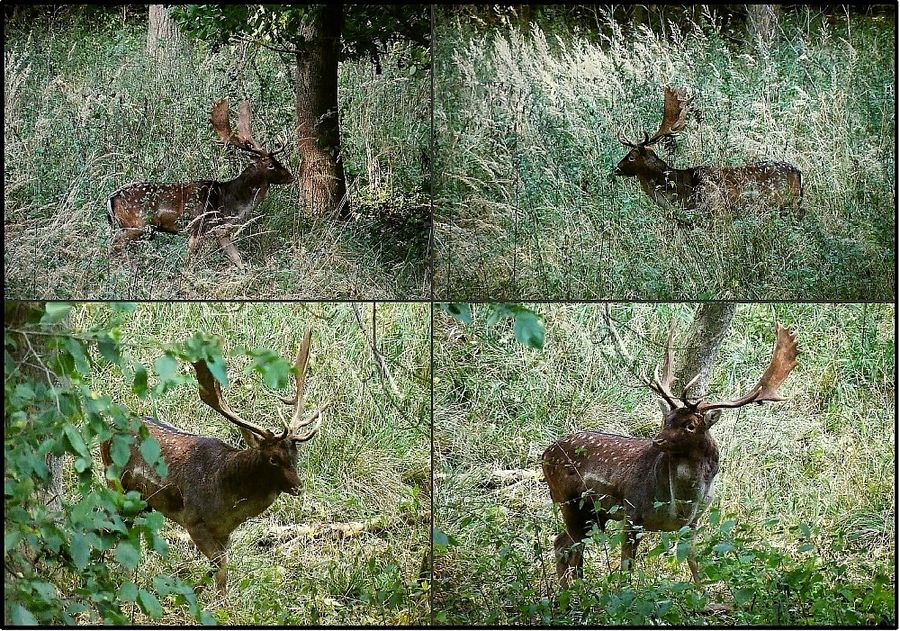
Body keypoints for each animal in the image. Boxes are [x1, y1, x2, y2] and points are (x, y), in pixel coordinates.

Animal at [100, 328, 330, 592]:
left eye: (295, 454)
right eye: (273, 459)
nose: (298, 487)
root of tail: (108, 426)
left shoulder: (225, 532)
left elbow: (220, 570)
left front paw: (198, 591)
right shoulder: (193, 521)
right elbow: (220, 568)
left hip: (141, 501)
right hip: (114, 481)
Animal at [106, 100, 292, 268]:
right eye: (271, 164)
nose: (290, 176)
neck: (229, 202)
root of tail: (111, 198)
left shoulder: (220, 231)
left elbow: (238, 259)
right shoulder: (199, 226)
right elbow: (190, 259)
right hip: (137, 224)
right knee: (116, 244)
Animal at [544, 318, 800, 592]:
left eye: (690, 425)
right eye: (667, 419)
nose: (657, 441)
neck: (679, 504)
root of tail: (544, 454)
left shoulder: (694, 522)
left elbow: (693, 561)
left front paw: (702, 594)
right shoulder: (633, 512)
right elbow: (626, 568)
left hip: (594, 513)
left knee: (568, 544)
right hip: (569, 501)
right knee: (565, 545)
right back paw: (568, 592)